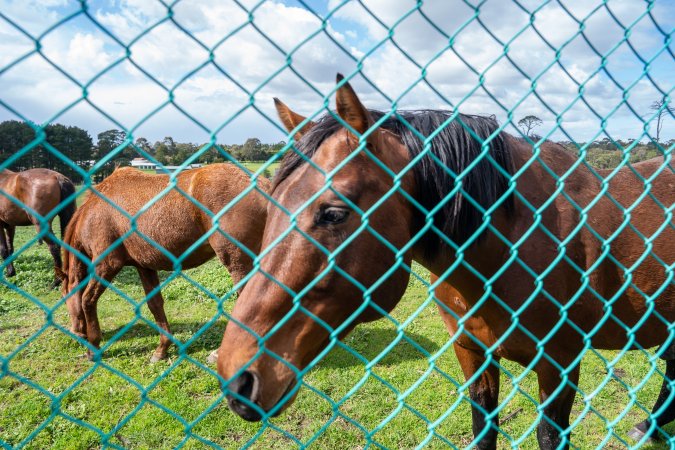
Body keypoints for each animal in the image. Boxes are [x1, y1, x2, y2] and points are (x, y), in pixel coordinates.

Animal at [60, 164, 270, 362]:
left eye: (65, 299)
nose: (75, 333)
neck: (92, 212)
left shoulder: (107, 264)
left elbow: (87, 300)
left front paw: (93, 347)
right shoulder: (144, 267)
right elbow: (155, 305)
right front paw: (162, 349)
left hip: (238, 263)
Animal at [216, 75, 674, 449]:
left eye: (333, 213)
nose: (238, 377)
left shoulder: (560, 362)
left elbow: (549, 435)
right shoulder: (473, 352)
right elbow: (483, 429)